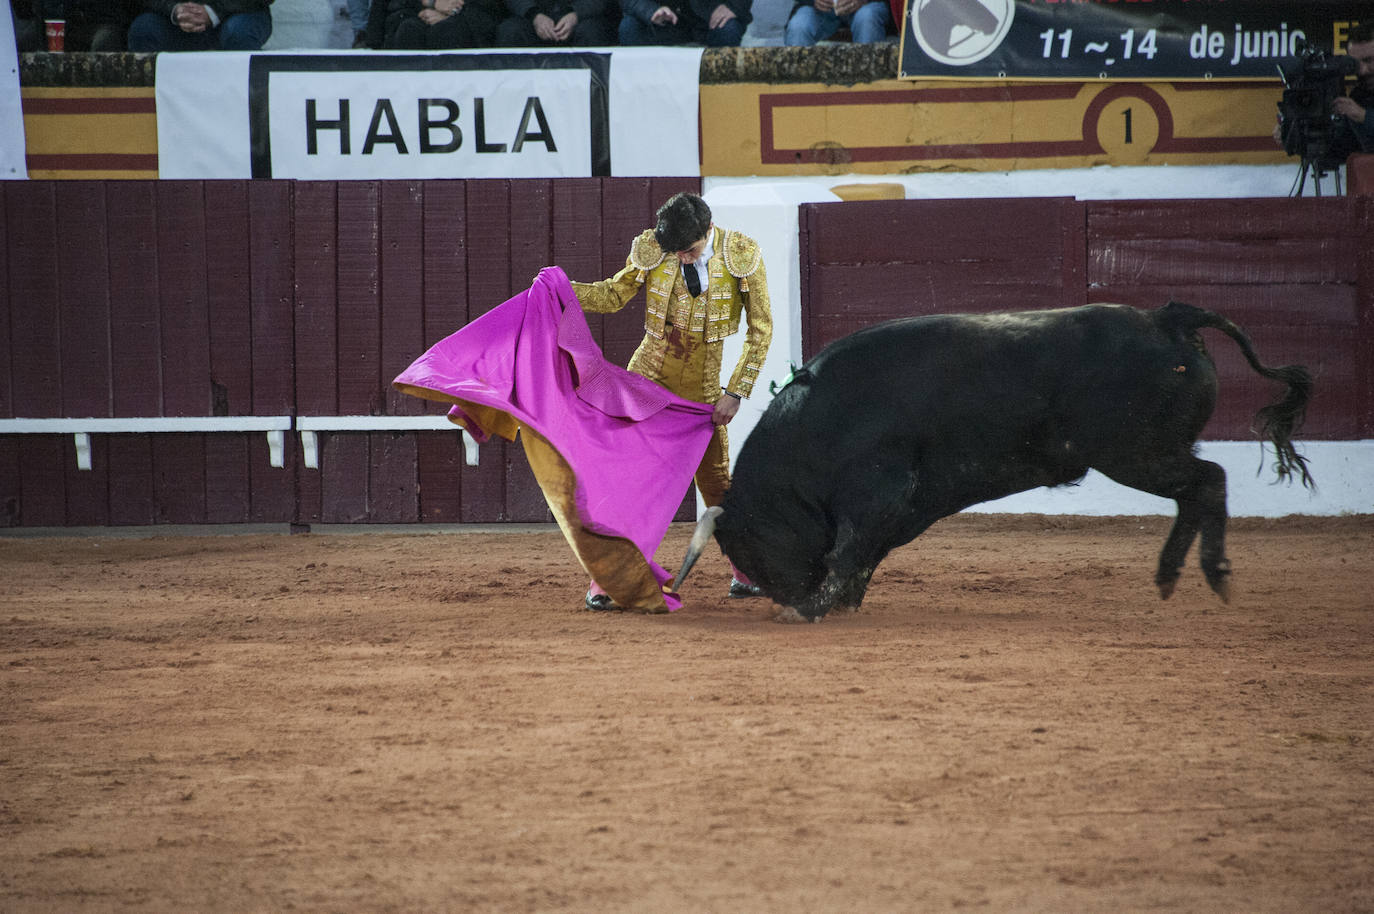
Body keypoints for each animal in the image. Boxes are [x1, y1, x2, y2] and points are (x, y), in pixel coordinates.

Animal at [676, 301, 1308, 621]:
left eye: (748, 546)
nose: (782, 597)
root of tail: (1166, 319)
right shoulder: (902, 505)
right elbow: (863, 553)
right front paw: (842, 601)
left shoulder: (877, 491)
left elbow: (850, 547)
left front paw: (815, 607)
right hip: (1144, 453)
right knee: (1198, 488)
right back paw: (1171, 575)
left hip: (1135, 452)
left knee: (1208, 481)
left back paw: (1209, 573)